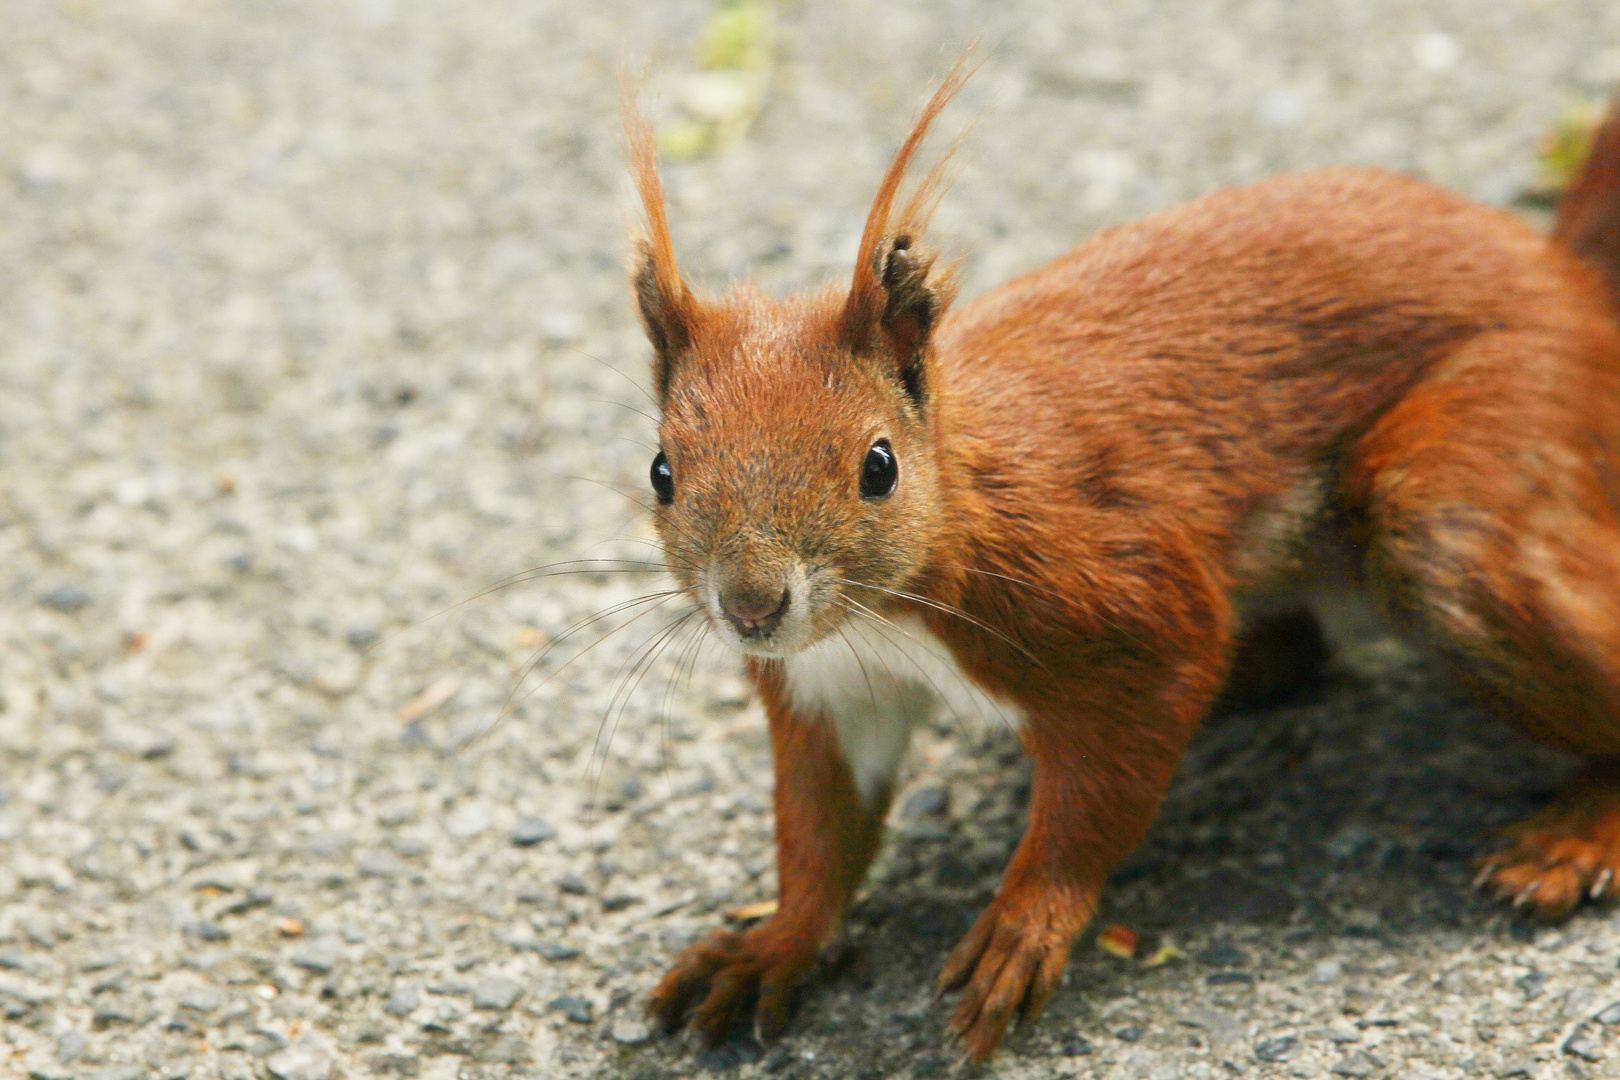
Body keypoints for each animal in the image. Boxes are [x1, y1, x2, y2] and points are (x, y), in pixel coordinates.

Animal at [615, 61, 1620, 1062]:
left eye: (879, 466)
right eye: (661, 470)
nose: (751, 607)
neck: (896, 609)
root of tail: (1569, 284)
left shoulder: (1117, 590)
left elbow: (1109, 777)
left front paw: (1026, 923)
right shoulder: (828, 685)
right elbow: (821, 830)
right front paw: (770, 945)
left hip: (1467, 492)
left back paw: (1575, 837)